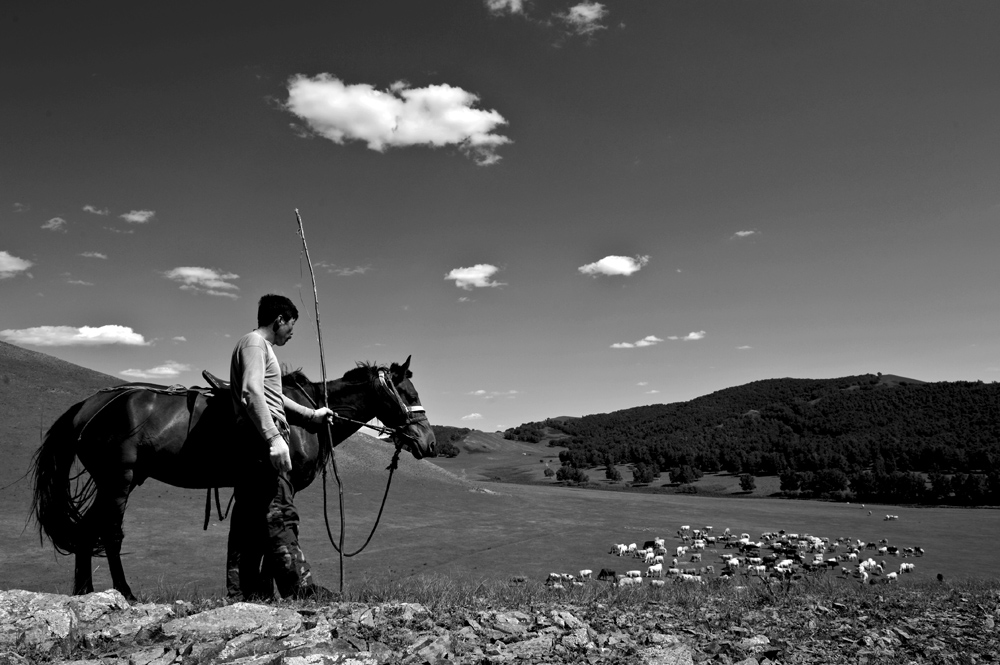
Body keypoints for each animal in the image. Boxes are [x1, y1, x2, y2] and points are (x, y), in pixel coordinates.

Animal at [30, 356, 434, 600]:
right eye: (407, 391)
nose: (428, 442)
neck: (301, 420)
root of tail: (88, 407)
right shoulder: (277, 485)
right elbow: (272, 533)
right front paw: (282, 592)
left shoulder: (252, 488)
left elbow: (252, 538)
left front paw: (260, 592)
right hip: (118, 481)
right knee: (109, 535)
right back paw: (125, 594)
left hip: (113, 482)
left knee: (87, 533)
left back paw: (85, 593)